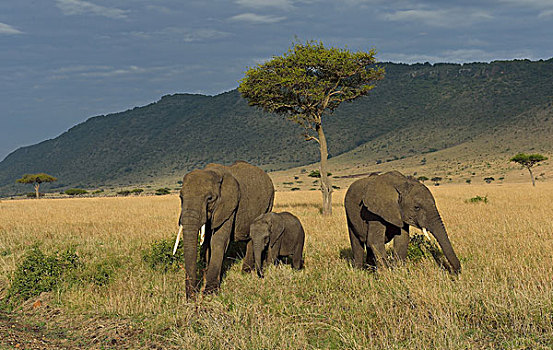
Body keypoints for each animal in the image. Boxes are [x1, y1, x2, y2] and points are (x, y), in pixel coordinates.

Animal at [174, 161, 272, 298]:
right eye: (181, 197)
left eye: (210, 199)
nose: (191, 299)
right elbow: (207, 242)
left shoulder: (228, 205)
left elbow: (218, 241)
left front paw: (209, 293)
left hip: (269, 203)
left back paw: (246, 273)